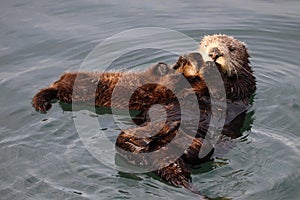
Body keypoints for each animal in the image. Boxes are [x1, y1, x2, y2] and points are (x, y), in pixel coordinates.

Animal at [32, 34, 255, 195]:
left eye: (231, 49)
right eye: (207, 45)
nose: (214, 53)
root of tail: (161, 158)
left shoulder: (241, 89)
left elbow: (227, 87)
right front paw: (182, 63)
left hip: (198, 144)